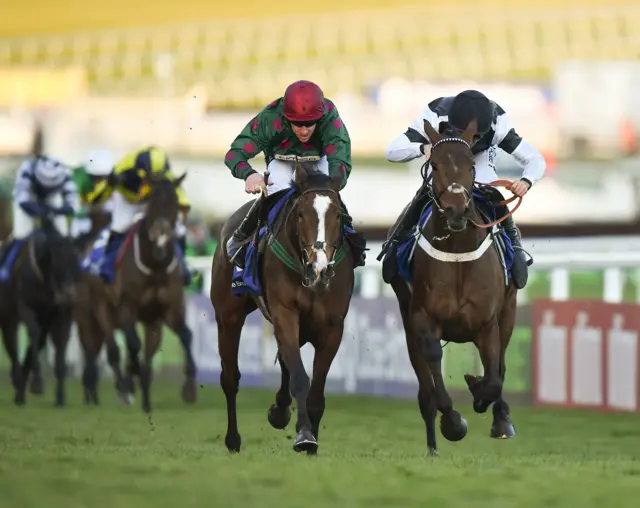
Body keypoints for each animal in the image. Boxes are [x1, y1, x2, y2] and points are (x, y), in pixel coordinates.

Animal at [0, 210, 82, 404]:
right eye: (58, 261)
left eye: (75, 260)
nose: (69, 294)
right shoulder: (26, 307)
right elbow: (34, 334)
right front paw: (36, 383)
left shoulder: (60, 315)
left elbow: (58, 345)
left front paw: (60, 396)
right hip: (8, 317)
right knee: (12, 346)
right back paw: (17, 380)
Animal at [82, 175, 198, 412]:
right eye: (152, 202)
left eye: (175, 203)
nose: (161, 237)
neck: (155, 265)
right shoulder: (127, 306)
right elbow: (133, 344)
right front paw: (130, 380)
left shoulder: (169, 309)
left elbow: (186, 335)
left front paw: (189, 387)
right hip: (101, 307)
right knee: (114, 350)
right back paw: (124, 385)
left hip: (150, 320)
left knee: (145, 353)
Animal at [212, 161, 358, 454]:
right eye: (301, 214)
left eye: (337, 215)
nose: (319, 267)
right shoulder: (285, 313)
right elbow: (300, 378)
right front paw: (304, 435)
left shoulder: (332, 327)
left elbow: (315, 390)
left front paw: (310, 440)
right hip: (227, 315)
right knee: (230, 378)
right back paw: (233, 439)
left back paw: (279, 411)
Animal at [388, 118, 516, 456]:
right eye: (434, 164)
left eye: (471, 164)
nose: (456, 211)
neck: (458, 252)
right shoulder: (422, 318)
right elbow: (434, 368)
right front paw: (453, 423)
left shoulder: (488, 322)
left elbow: (495, 377)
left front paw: (480, 392)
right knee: (424, 385)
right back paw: (433, 443)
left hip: (509, 312)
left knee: (501, 365)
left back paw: (501, 419)